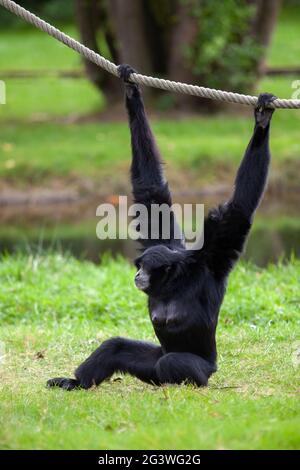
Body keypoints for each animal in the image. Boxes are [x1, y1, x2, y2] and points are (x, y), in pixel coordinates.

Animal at [47, 64, 276, 392]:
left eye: (145, 268)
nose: (137, 275)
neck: (173, 283)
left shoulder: (213, 258)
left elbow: (239, 210)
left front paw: (262, 122)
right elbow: (151, 192)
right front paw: (131, 90)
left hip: (201, 369)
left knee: (171, 362)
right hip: (150, 361)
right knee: (117, 347)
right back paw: (75, 382)